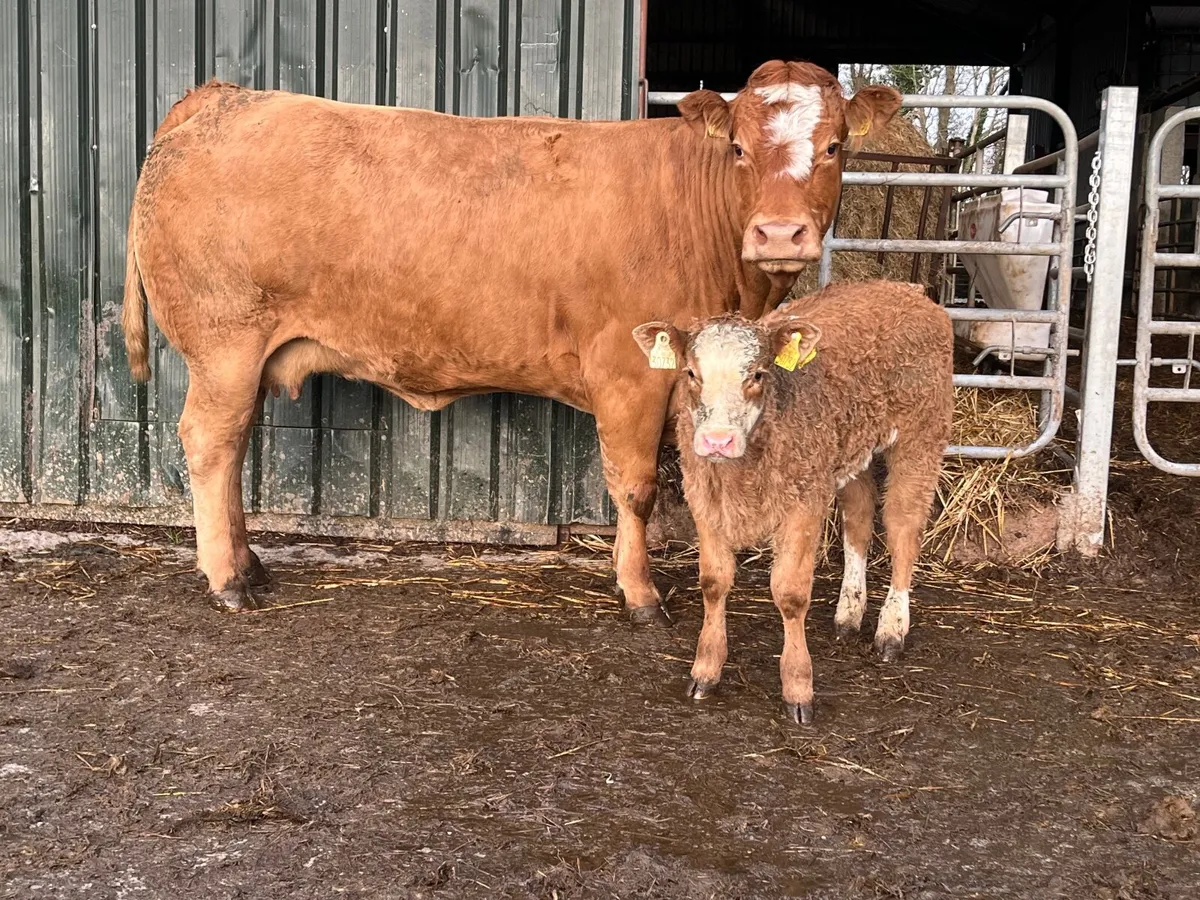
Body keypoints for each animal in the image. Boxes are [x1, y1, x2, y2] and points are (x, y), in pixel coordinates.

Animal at [121, 60, 901, 617]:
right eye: (739, 147)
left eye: (835, 146)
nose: (779, 233)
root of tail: (223, 98)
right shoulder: (630, 373)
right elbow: (636, 486)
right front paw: (640, 593)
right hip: (224, 344)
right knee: (210, 442)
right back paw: (228, 579)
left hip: (246, 357)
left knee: (232, 447)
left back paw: (248, 563)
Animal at [632, 281, 953, 723]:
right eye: (691, 374)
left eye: (757, 374)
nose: (717, 441)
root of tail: (907, 289)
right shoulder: (705, 499)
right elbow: (713, 583)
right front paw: (706, 670)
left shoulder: (804, 504)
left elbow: (790, 593)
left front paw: (798, 687)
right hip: (845, 449)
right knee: (859, 514)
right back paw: (849, 614)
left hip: (921, 434)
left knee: (903, 526)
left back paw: (891, 628)